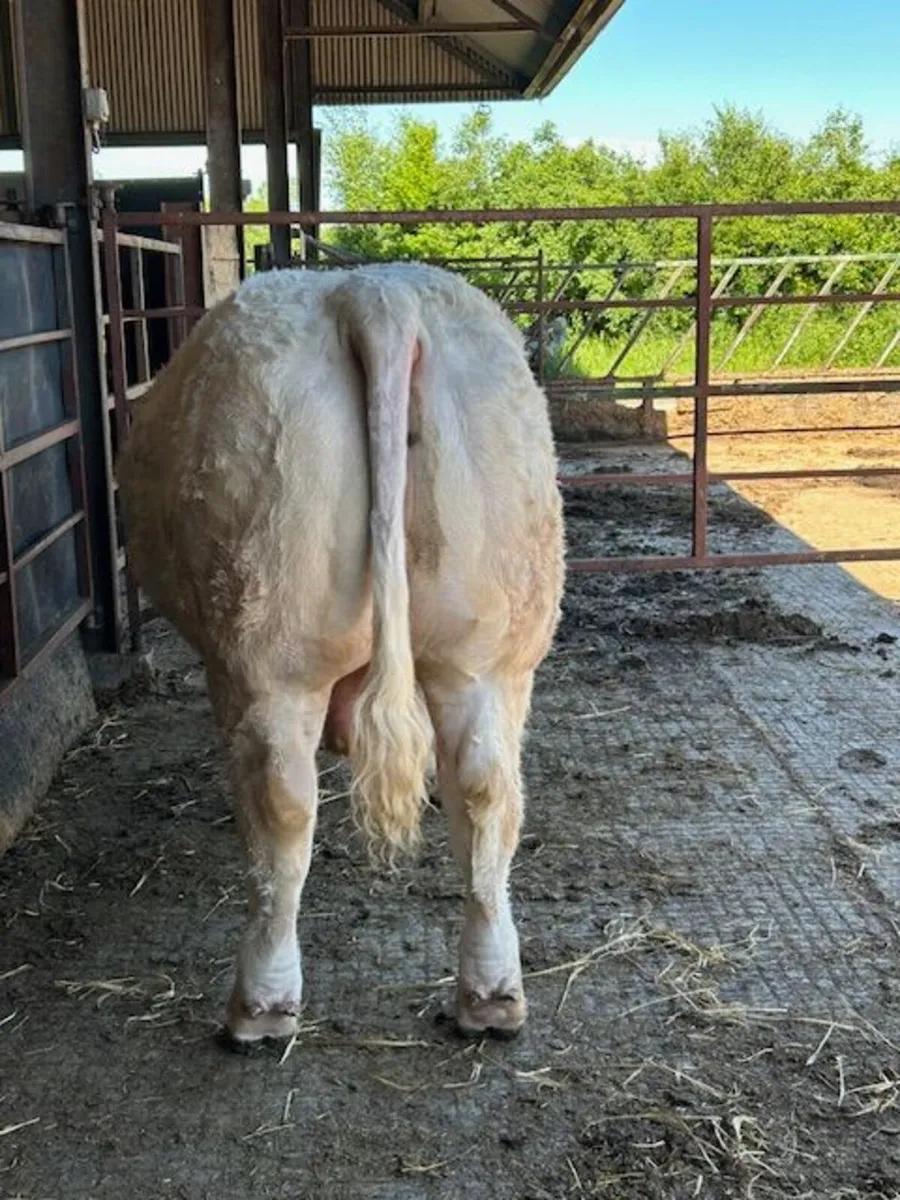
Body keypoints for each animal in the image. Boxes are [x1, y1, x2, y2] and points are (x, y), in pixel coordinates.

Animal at [118, 262, 565, 1046]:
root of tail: (373, 292)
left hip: (269, 652)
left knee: (283, 804)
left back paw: (261, 1006)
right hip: (491, 648)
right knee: (485, 794)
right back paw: (491, 995)